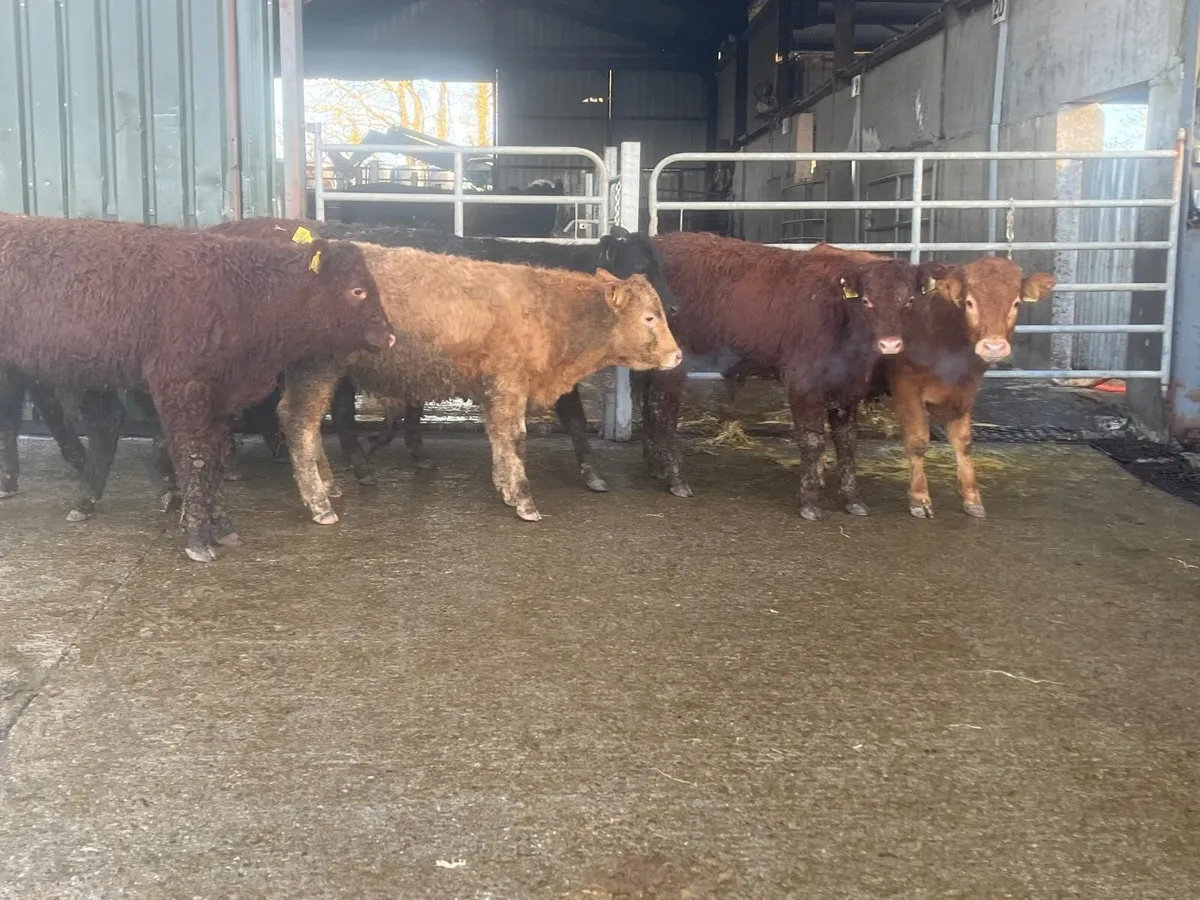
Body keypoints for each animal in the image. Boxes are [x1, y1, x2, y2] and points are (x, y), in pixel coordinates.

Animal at [0, 215, 392, 562]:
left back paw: (84, 498)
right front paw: (196, 538)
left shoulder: (223, 397)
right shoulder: (178, 386)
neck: (242, 293)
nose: (389, 336)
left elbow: (214, 458)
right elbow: (193, 457)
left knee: (100, 423)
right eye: (357, 290)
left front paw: (223, 527)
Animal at [275, 243, 681, 524]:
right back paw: (319, 503)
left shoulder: (495, 388)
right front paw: (524, 500)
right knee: (300, 423)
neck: (551, 311)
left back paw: (329, 486)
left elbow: (499, 437)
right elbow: (514, 438)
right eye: (649, 317)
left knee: (302, 421)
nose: (677, 356)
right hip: (317, 368)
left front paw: (505, 488)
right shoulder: (508, 382)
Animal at [645, 231, 948, 521]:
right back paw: (676, 478)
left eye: (909, 302)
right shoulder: (803, 383)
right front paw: (810, 502)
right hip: (673, 364)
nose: (890, 344)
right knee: (664, 412)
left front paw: (853, 500)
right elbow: (812, 440)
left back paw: (658, 467)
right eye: (866, 301)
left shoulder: (847, 390)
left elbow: (847, 442)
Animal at [809, 243, 1055, 518]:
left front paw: (971, 497)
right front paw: (919, 498)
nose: (994, 346)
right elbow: (917, 440)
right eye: (969, 302)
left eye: (1015, 304)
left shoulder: (966, 389)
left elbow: (963, 442)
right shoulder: (906, 385)